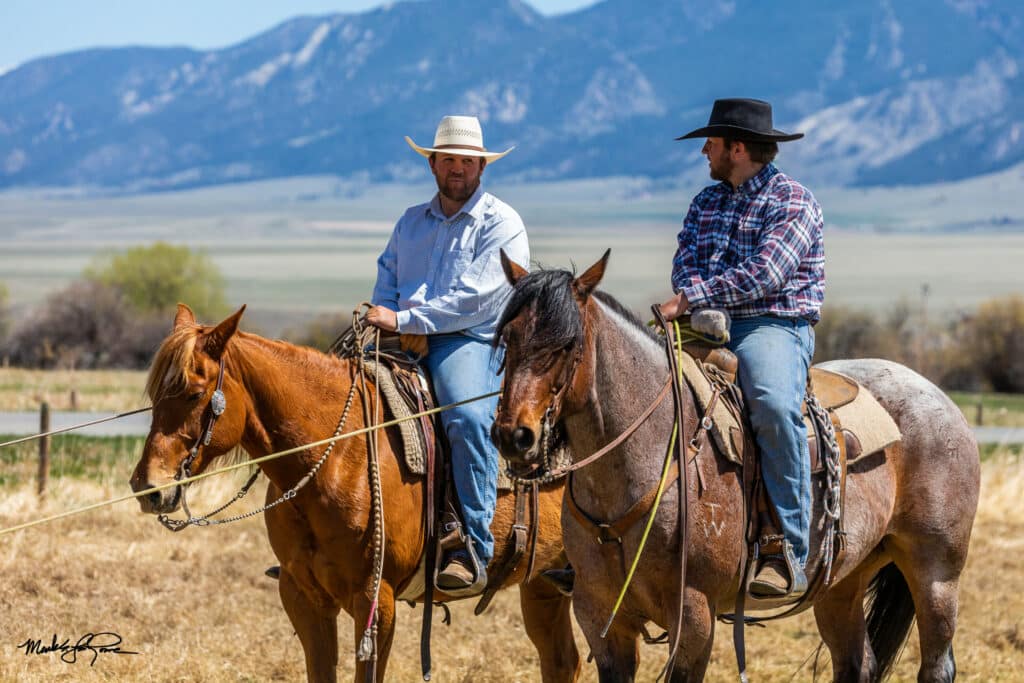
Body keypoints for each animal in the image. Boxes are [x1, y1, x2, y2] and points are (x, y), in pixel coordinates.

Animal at [128, 304, 581, 683]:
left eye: (194, 393)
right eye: (154, 396)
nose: (148, 487)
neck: (339, 454)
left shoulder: (375, 601)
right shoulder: (302, 596)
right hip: (542, 585)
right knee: (562, 662)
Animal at [491, 251, 980, 682]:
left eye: (567, 344)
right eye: (508, 337)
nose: (515, 435)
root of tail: (938, 397)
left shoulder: (694, 617)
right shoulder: (598, 615)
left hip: (936, 573)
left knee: (936, 665)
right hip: (843, 582)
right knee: (856, 663)